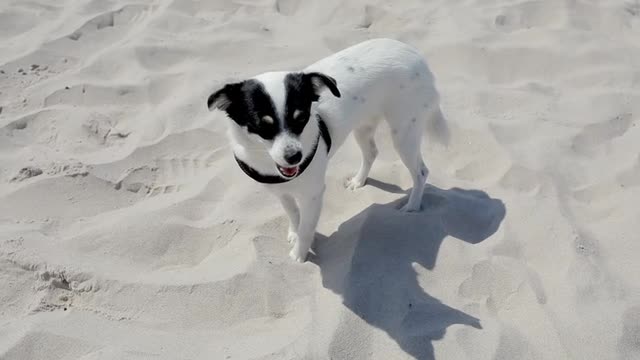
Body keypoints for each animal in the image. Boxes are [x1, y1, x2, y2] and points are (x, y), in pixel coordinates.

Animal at [208, 38, 448, 262]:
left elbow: (306, 227)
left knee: (421, 172)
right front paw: (294, 233)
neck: (270, 164)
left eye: (301, 118)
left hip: (404, 134)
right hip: (363, 127)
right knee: (371, 152)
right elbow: (293, 214)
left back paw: (412, 206)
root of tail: (415, 55)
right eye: (262, 125)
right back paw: (359, 181)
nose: (294, 157)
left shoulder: (313, 195)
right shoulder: (282, 193)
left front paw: (299, 255)